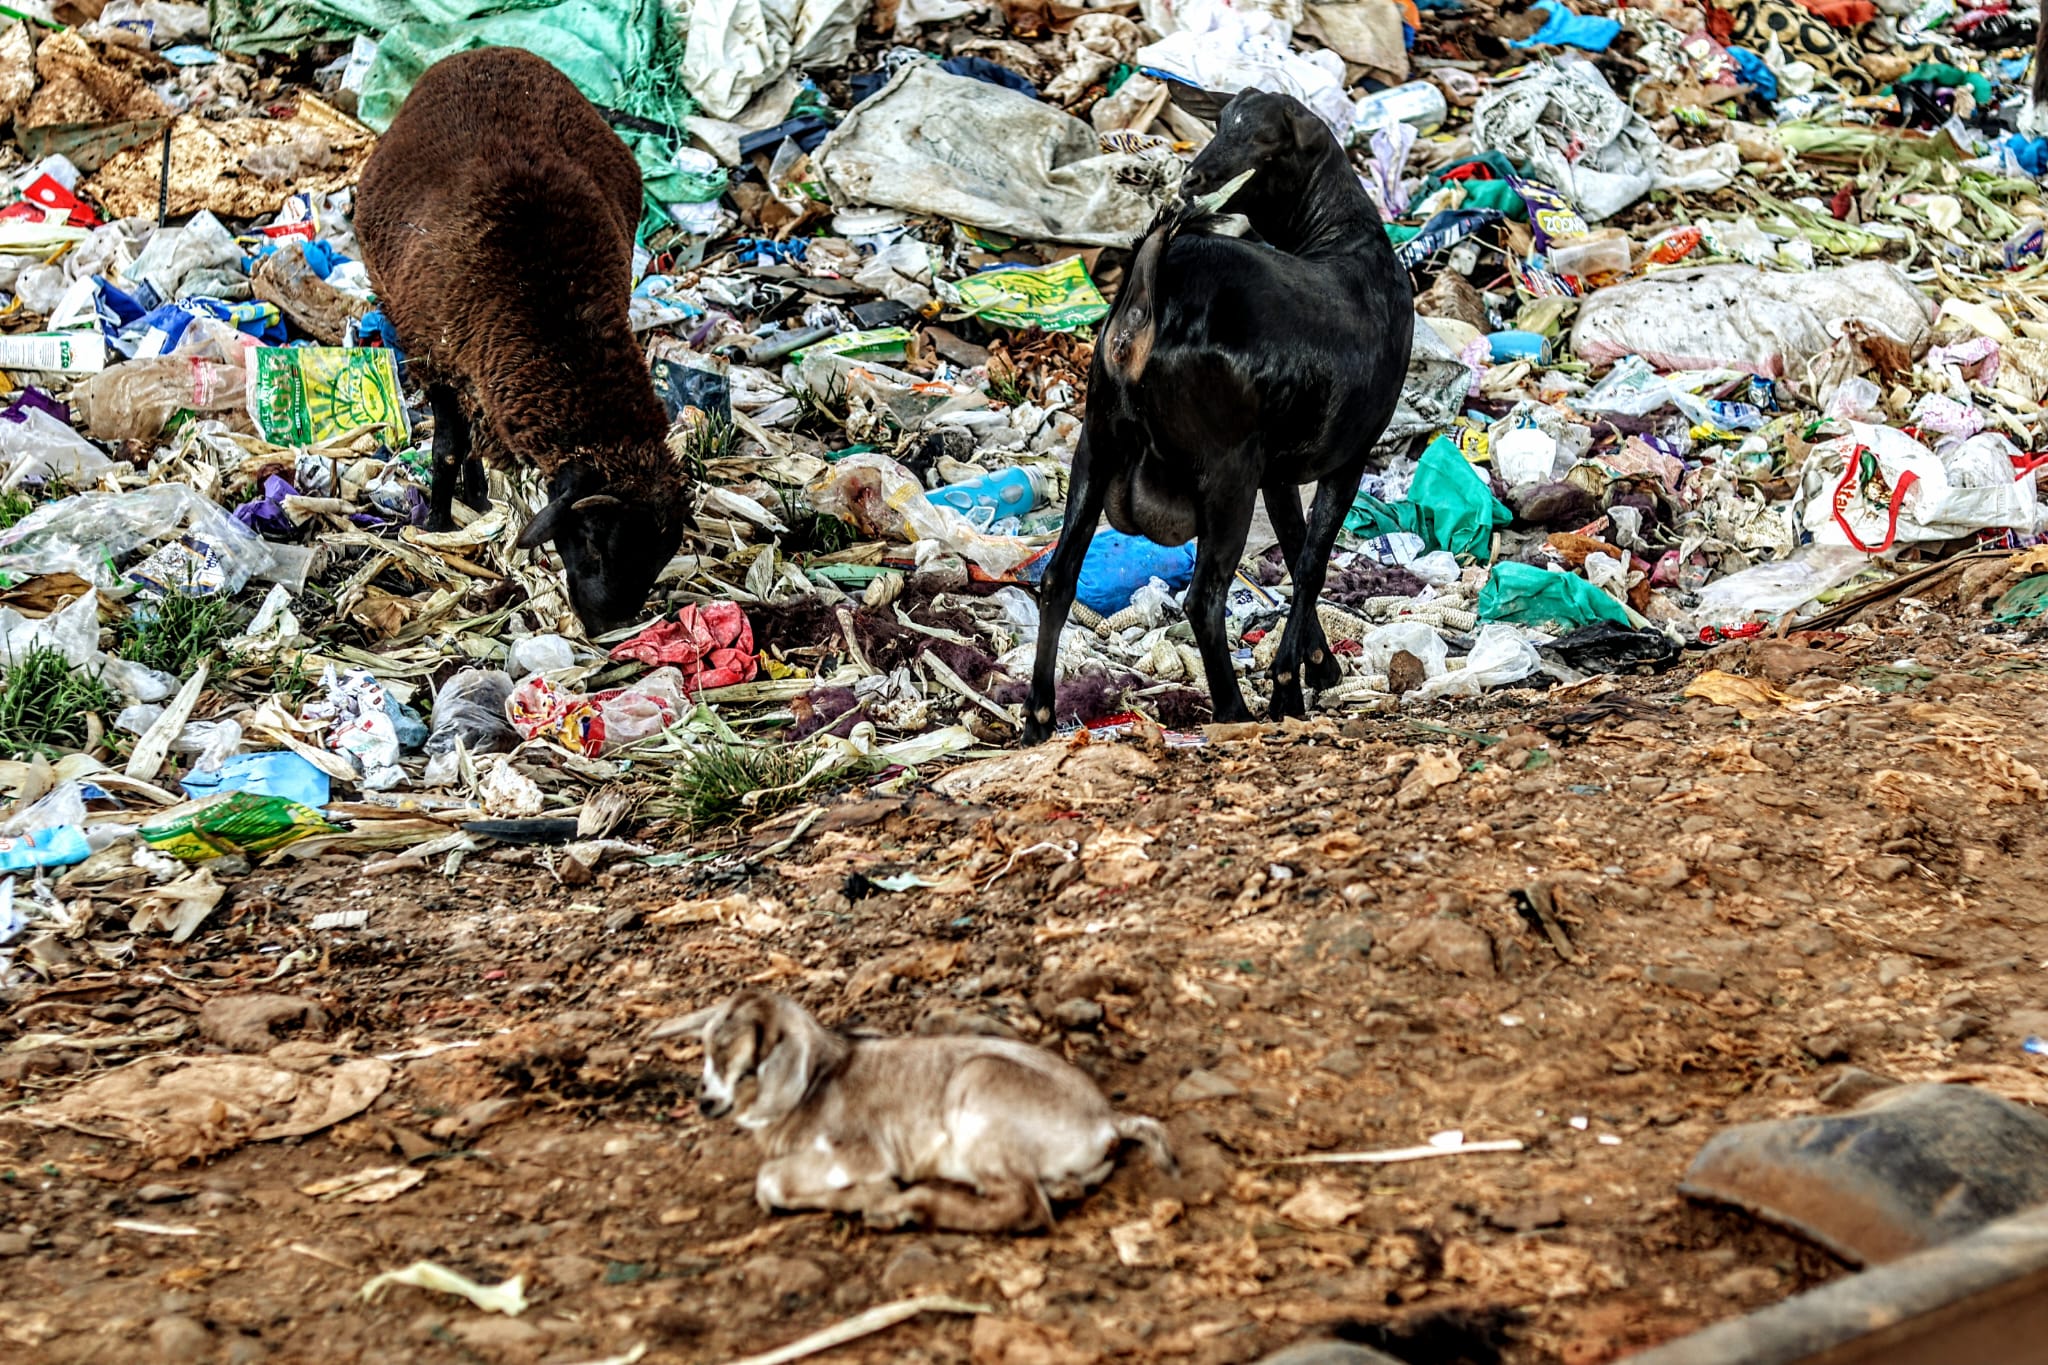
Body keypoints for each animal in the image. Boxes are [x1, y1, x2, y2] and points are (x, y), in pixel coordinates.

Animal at [356, 46, 693, 634]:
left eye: (660, 558)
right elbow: (446, 447)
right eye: (593, 541)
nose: (605, 629)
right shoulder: (432, 354)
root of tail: (489, 51)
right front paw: (439, 527)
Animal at [674, 989, 1176, 1232]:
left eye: (733, 1052)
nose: (706, 1101)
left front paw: (873, 1196)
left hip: (981, 1091)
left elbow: (769, 1181)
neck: (816, 1082)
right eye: (706, 1047)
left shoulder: (859, 1151)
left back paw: (907, 1209)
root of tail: (1107, 1120)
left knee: (1026, 1208)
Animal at [1022, 90, 1414, 743]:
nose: (1195, 178)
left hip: (1097, 441)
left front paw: (1317, 668)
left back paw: (1037, 719)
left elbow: (1295, 549)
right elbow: (1312, 562)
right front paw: (1288, 688)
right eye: (1222, 123)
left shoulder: (1278, 470)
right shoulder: (1348, 453)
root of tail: (1146, 302)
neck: (1344, 243)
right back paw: (1234, 710)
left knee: (1058, 576)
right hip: (1225, 472)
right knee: (1204, 597)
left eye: (1264, 141)